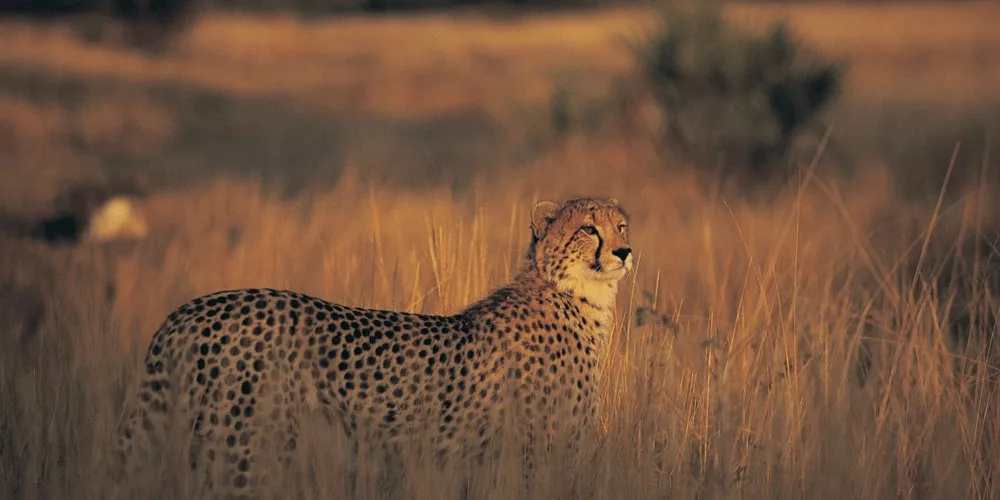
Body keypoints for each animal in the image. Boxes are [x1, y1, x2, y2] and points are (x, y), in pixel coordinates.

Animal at [115, 196, 634, 498]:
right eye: (588, 229)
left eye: (622, 226)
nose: (624, 251)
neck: (576, 296)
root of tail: (192, 308)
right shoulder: (533, 458)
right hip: (246, 452)